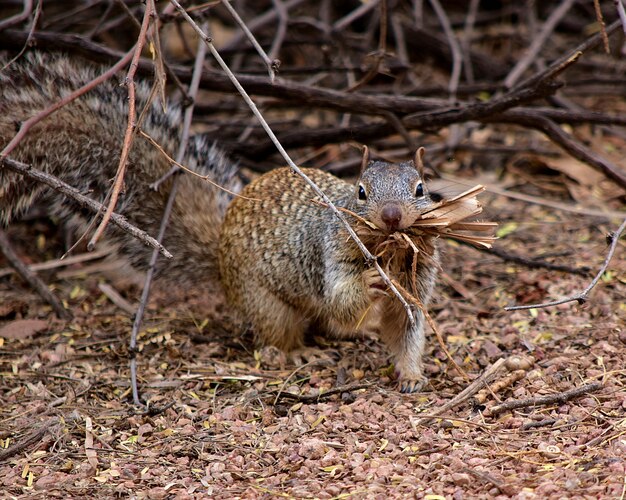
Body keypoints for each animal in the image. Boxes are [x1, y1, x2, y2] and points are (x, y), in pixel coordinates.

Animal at [1, 52, 438, 392]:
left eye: (420, 189)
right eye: (361, 192)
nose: (392, 216)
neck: (393, 253)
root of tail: (221, 257)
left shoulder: (416, 285)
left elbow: (407, 329)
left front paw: (412, 375)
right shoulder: (331, 252)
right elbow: (341, 297)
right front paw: (370, 280)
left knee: (329, 324)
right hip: (265, 303)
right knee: (282, 332)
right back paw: (296, 353)